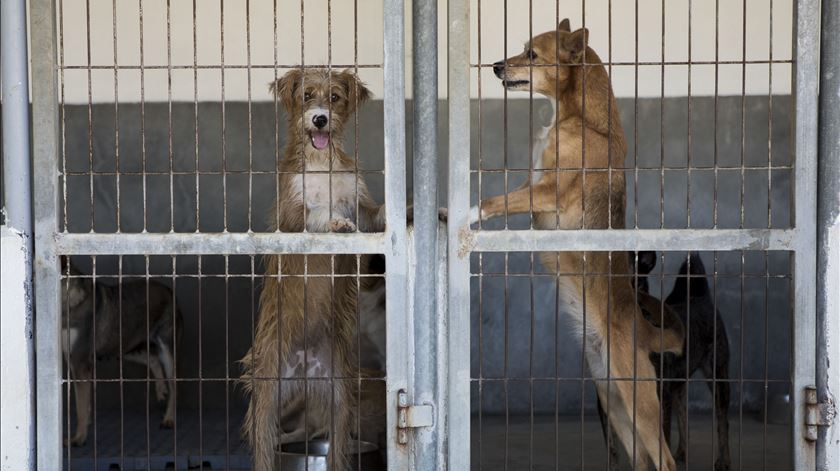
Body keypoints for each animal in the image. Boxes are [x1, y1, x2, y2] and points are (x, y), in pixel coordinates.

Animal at [241, 68, 386, 470]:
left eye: (334, 97)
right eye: (307, 95)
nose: (320, 118)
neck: (322, 164)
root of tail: (304, 370)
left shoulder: (361, 205)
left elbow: (376, 213)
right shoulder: (292, 217)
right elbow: (318, 212)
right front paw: (334, 220)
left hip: (340, 400)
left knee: (336, 447)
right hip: (266, 402)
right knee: (264, 447)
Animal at [472, 19, 684, 471]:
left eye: (531, 55)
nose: (496, 67)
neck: (584, 120)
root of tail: (642, 329)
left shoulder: (547, 193)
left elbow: (495, 201)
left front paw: (467, 213)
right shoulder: (533, 187)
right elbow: (510, 197)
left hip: (639, 403)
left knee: (666, 460)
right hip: (614, 403)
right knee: (642, 461)